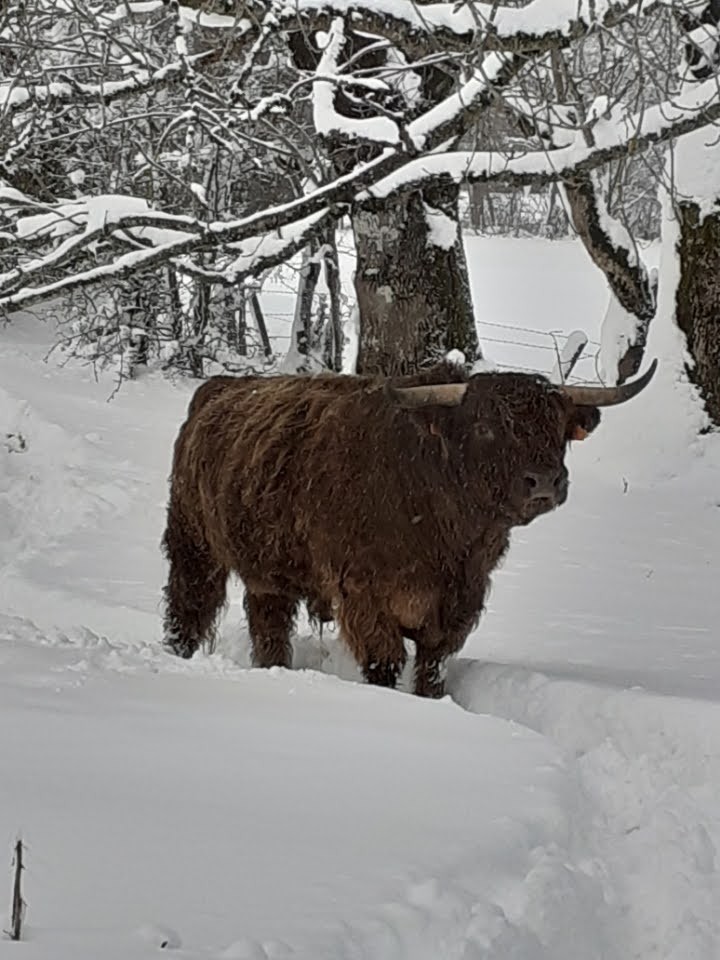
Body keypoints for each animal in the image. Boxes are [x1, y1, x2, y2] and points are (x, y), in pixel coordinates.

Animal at [160, 356, 656, 692]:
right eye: (485, 427)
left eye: (557, 427)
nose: (545, 481)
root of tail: (218, 388)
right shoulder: (364, 597)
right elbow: (384, 663)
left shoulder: (459, 604)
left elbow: (432, 669)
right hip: (192, 542)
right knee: (188, 606)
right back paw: (176, 653)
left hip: (269, 575)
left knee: (268, 626)